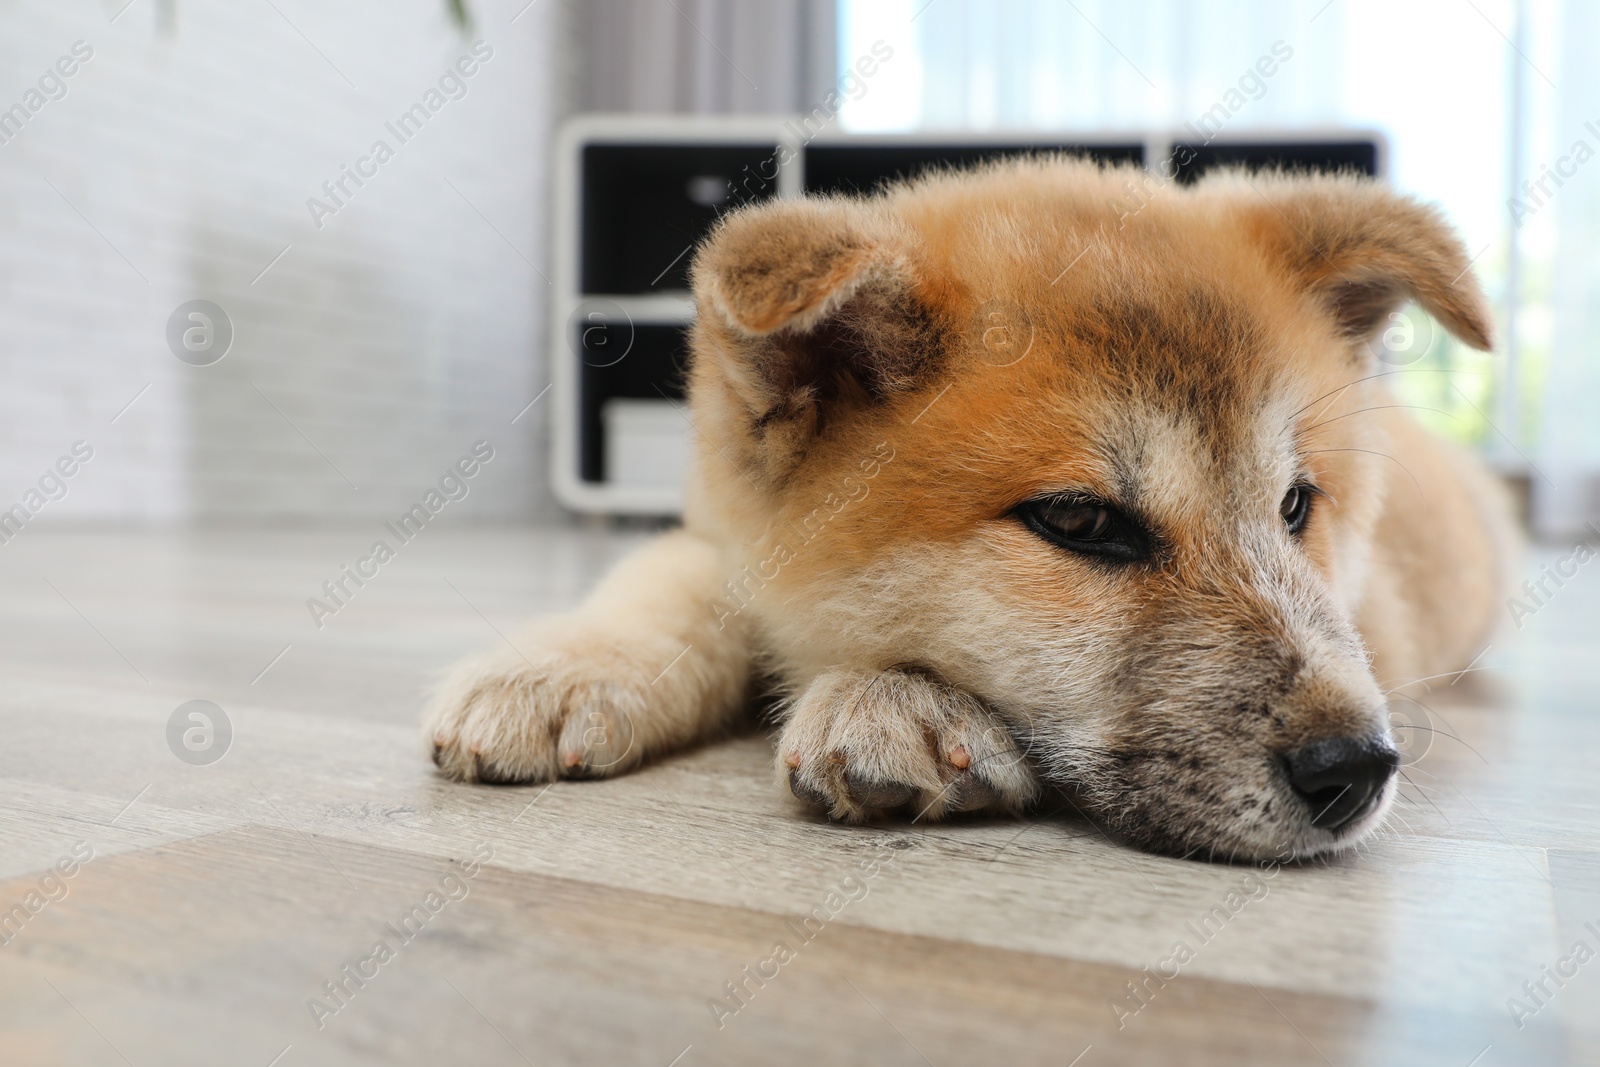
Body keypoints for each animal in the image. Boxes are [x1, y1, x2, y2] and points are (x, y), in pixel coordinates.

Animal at [422, 156, 1510, 857]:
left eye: (1294, 504)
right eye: (1077, 522)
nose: (1357, 767)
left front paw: (895, 701)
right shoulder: (721, 536)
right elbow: (668, 590)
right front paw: (564, 668)